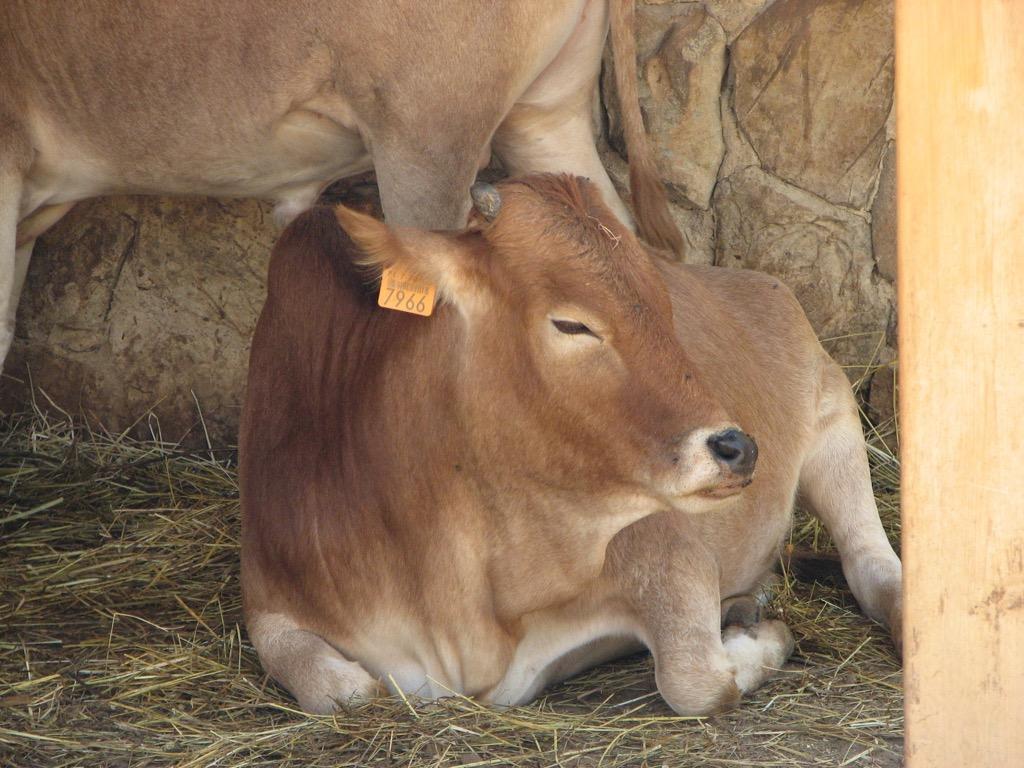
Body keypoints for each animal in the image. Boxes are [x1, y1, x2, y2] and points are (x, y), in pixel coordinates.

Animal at [239, 173, 903, 715]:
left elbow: (696, 680)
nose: (737, 447)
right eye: (571, 324)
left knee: (874, 566)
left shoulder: (663, 543)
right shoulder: (269, 591)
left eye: (663, 301)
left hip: (834, 421)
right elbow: (342, 690)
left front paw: (762, 638)